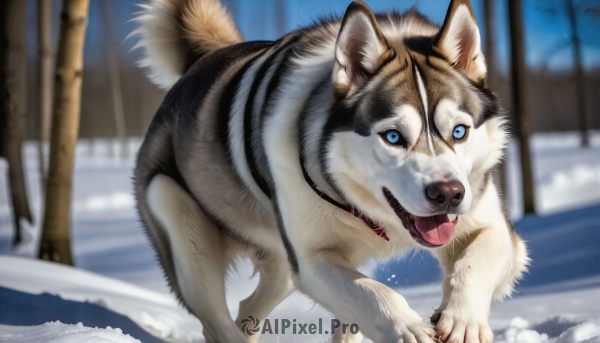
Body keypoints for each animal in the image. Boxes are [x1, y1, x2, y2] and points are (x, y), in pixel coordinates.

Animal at [132, 0, 528, 342]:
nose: (447, 193)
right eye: (393, 136)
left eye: (459, 131)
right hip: (180, 222)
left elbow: (476, 262)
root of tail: (203, 62)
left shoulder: (492, 227)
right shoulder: (311, 261)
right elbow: (377, 296)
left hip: (281, 264)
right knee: (216, 321)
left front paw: (463, 320)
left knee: (250, 307)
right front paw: (410, 330)